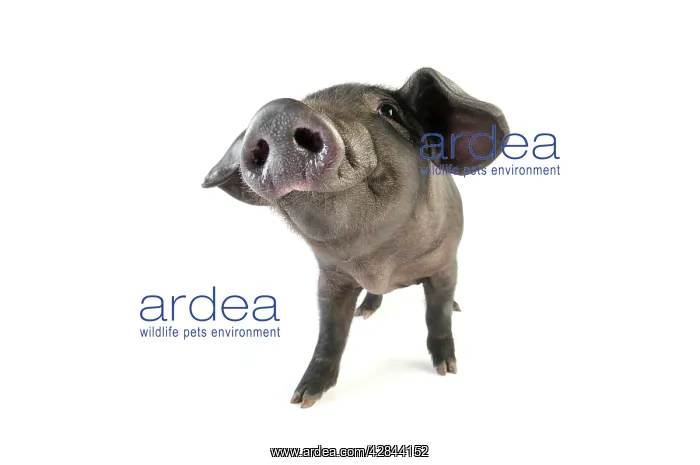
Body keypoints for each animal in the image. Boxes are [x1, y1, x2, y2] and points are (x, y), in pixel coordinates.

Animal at [202, 68, 509, 408]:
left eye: (389, 110)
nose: (277, 113)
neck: (379, 263)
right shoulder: (330, 277)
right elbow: (330, 333)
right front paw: (302, 399)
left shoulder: (444, 263)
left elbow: (437, 315)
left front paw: (447, 369)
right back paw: (365, 311)